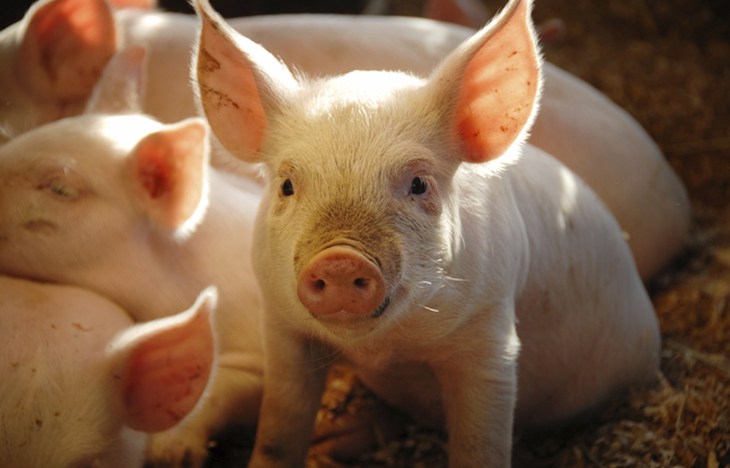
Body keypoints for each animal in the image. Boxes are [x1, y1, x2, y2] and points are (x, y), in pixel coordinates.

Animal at [193, 0, 662, 465]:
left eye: (419, 183)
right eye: (287, 185)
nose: (340, 259)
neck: (385, 350)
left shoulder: (491, 337)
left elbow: (480, 444)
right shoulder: (281, 325)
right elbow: (279, 426)